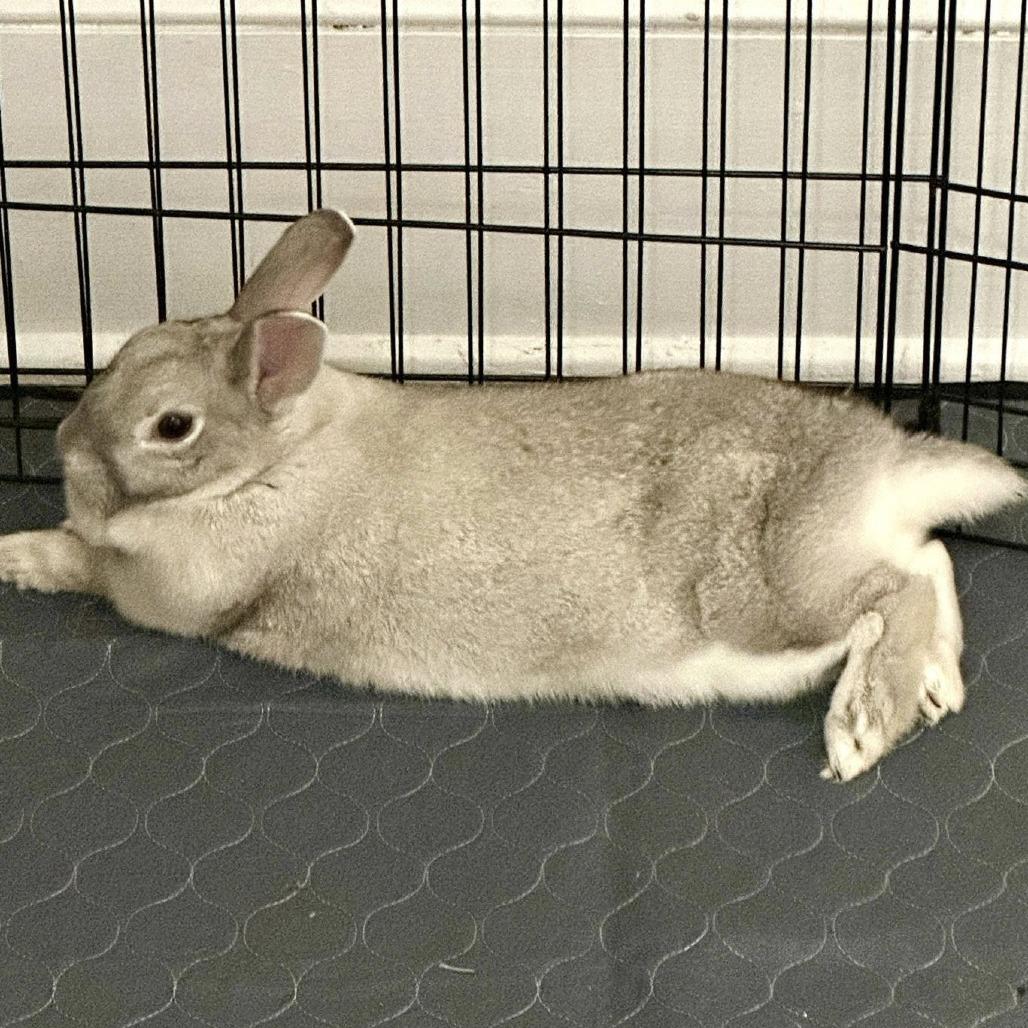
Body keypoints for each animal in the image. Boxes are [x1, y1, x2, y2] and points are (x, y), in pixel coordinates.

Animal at [0, 208, 1023, 781]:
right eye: (123, 352)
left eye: (171, 427)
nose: (64, 446)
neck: (277, 452)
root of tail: (878, 462)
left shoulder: (170, 590)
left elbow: (87, 563)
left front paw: (16, 555)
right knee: (929, 559)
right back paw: (937, 683)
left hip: (764, 596)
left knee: (894, 588)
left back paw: (865, 724)